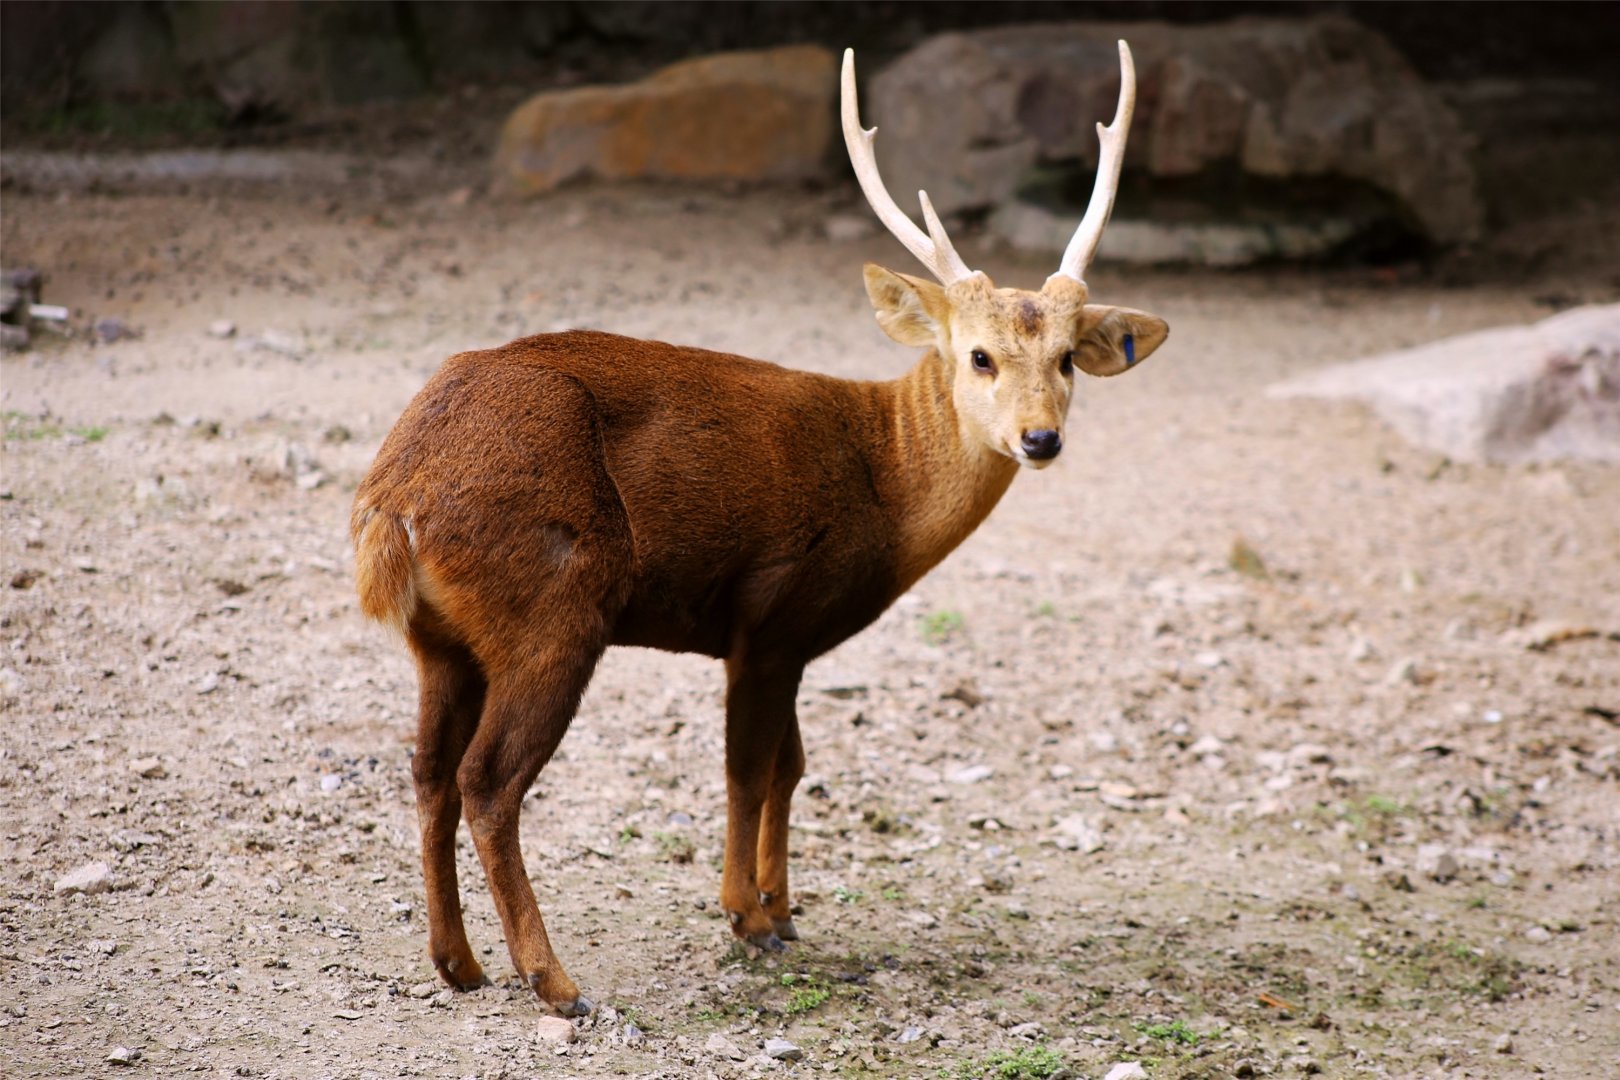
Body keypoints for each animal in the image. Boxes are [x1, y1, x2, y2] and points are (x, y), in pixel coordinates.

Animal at [350, 42, 1166, 1017]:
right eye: (979, 356)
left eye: (1067, 359)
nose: (1040, 438)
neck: (883, 480)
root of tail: (394, 497)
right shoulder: (772, 614)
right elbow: (749, 765)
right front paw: (748, 917)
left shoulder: (796, 638)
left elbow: (792, 763)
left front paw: (784, 908)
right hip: (555, 605)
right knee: (488, 779)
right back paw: (554, 981)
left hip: (441, 639)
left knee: (428, 771)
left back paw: (458, 963)